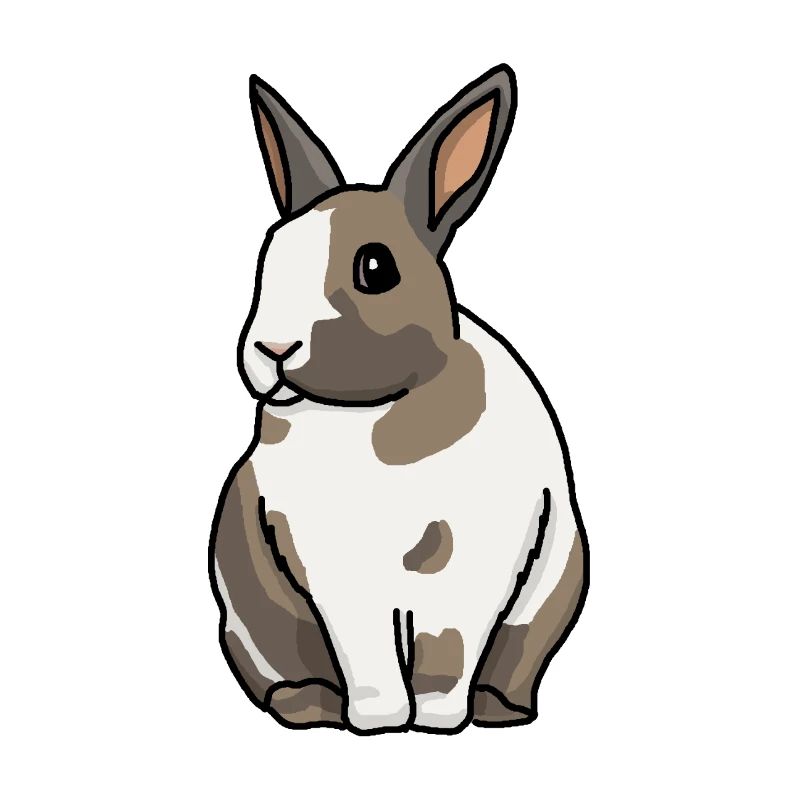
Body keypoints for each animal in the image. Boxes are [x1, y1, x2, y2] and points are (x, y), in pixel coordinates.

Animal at [209, 64, 589, 735]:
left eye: (375, 268)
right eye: (268, 257)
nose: (273, 349)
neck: (378, 409)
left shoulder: (476, 565)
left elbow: (449, 649)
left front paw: (436, 721)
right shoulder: (336, 571)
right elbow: (367, 651)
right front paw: (380, 721)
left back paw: (497, 710)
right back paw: (310, 706)